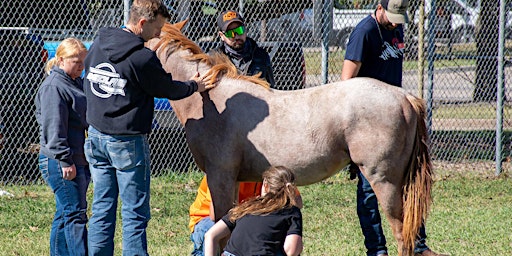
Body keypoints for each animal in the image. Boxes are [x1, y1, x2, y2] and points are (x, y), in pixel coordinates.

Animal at [146, 21, 434, 256]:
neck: (212, 100)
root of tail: (404, 96)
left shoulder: (220, 177)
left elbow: (220, 233)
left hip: (384, 180)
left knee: (402, 234)